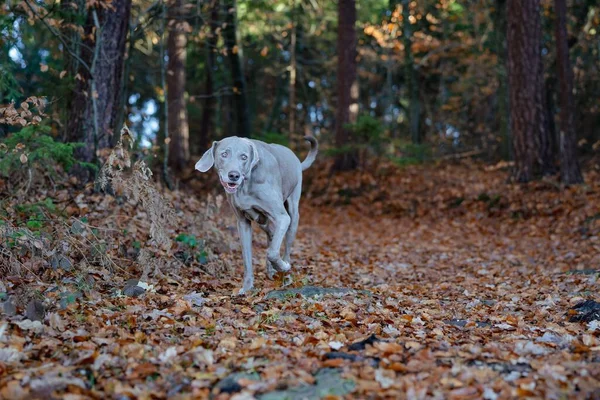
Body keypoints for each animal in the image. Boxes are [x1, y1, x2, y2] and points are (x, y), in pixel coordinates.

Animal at [196, 136, 318, 296]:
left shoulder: (282, 217)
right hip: (261, 219)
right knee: (271, 233)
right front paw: (247, 288)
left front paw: (282, 266)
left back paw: (285, 272)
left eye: (244, 157)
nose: (233, 175)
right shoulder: (242, 223)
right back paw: (271, 270)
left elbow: (272, 252)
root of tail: (295, 158)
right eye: (224, 154)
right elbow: (247, 258)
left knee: (286, 246)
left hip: (293, 213)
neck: (245, 186)